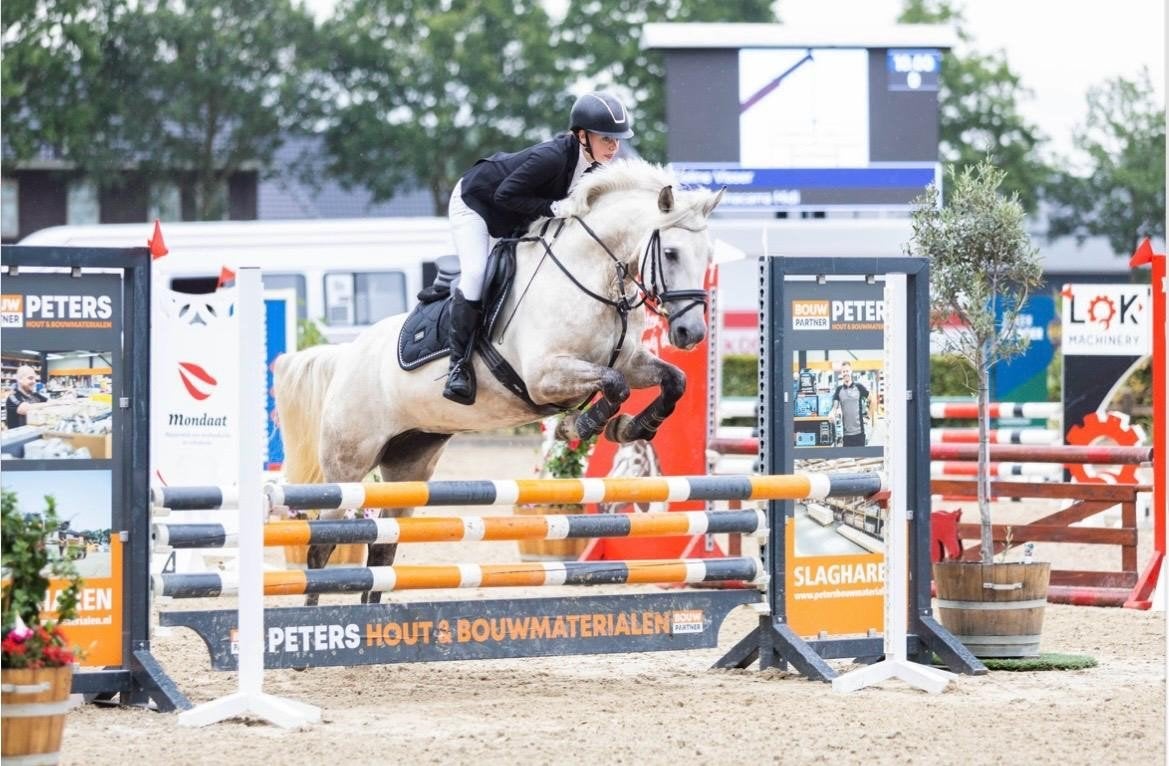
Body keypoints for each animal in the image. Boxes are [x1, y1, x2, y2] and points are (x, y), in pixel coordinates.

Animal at [274, 159, 724, 605]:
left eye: (707, 256)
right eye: (670, 252)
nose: (691, 333)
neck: (591, 280)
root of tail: (347, 355)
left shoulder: (630, 361)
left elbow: (673, 380)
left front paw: (632, 427)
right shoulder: (545, 376)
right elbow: (614, 385)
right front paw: (580, 425)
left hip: (409, 465)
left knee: (383, 546)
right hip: (348, 466)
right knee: (322, 544)